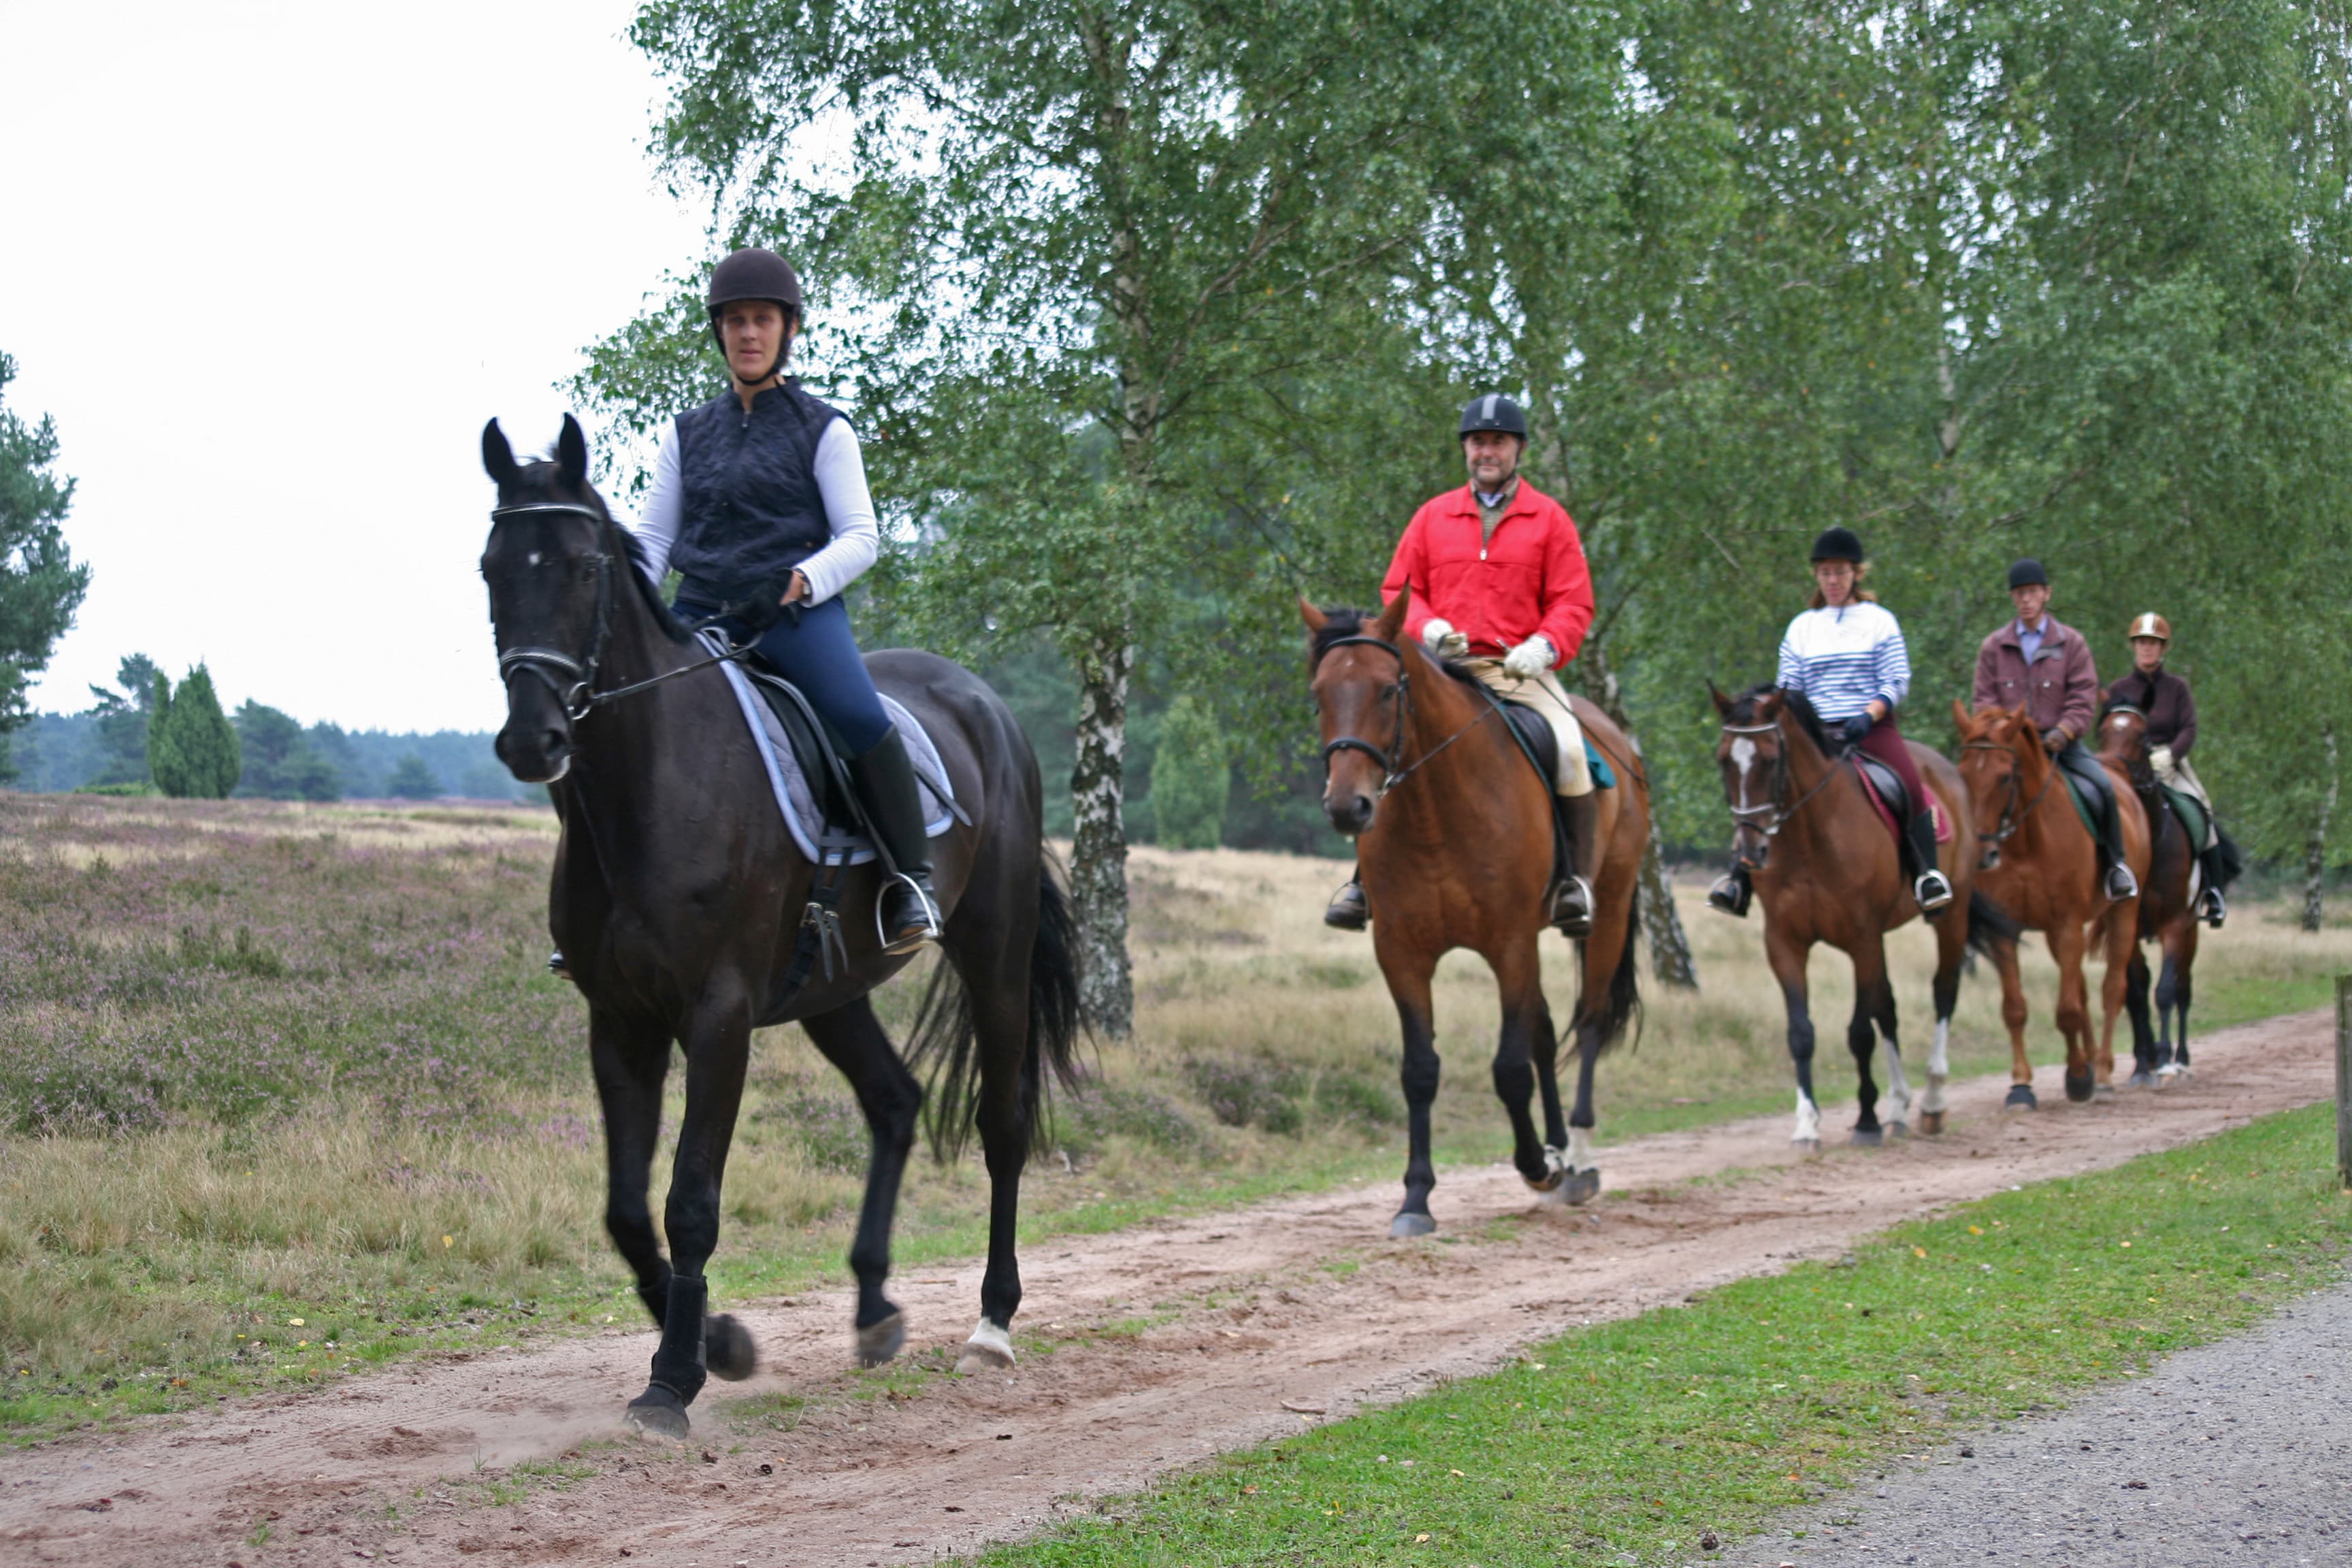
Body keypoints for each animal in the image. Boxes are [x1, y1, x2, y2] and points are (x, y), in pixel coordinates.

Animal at [480, 413, 1081, 1439]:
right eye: (489, 568)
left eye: (583, 567)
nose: (534, 739)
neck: (651, 791)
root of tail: (986, 705)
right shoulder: (621, 1021)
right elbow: (625, 1210)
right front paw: (718, 1343)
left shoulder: (718, 1018)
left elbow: (689, 1201)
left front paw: (674, 1379)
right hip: (833, 989)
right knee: (894, 1101)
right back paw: (875, 1310)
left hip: (992, 957)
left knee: (1001, 1123)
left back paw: (993, 1324)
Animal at [1298, 587, 1646, 1241]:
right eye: (1320, 693)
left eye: (1388, 689)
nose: (1347, 808)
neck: (1437, 811)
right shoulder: (1403, 954)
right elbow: (1420, 1070)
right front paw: (1415, 1199)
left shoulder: (1508, 943)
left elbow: (1509, 1068)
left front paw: (1535, 1164)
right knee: (1543, 1031)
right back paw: (1560, 1149)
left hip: (1605, 915)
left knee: (1586, 1023)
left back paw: (1577, 1162)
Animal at [1712, 686, 2004, 1142]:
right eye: (1723, 759)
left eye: (1771, 758)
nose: (1751, 851)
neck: (1810, 837)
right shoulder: (1784, 942)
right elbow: (1802, 1033)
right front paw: (1806, 1126)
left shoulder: (1861, 938)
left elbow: (1860, 1032)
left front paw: (1866, 1120)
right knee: (1889, 1007)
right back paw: (1898, 1108)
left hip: (1950, 918)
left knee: (1943, 993)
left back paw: (1932, 1102)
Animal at [1947, 705, 2154, 1109]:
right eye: (1963, 774)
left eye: (2005, 776)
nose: (1982, 852)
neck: (2026, 841)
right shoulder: (2004, 931)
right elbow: (2015, 1009)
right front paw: (2021, 1087)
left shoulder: (2067, 924)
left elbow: (2068, 1010)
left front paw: (2078, 1077)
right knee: (2083, 990)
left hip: (2123, 913)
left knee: (2111, 989)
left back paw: (2102, 1073)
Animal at [2097, 705, 2239, 1085]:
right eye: (2102, 731)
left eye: (2143, 737)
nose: (2109, 771)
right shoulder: (2128, 926)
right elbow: (2136, 992)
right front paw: (2141, 1063)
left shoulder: (2175, 925)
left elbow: (2164, 992)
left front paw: (2162, 1059)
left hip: (2191, 932)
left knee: (2183, 989)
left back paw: (2181, 1058)